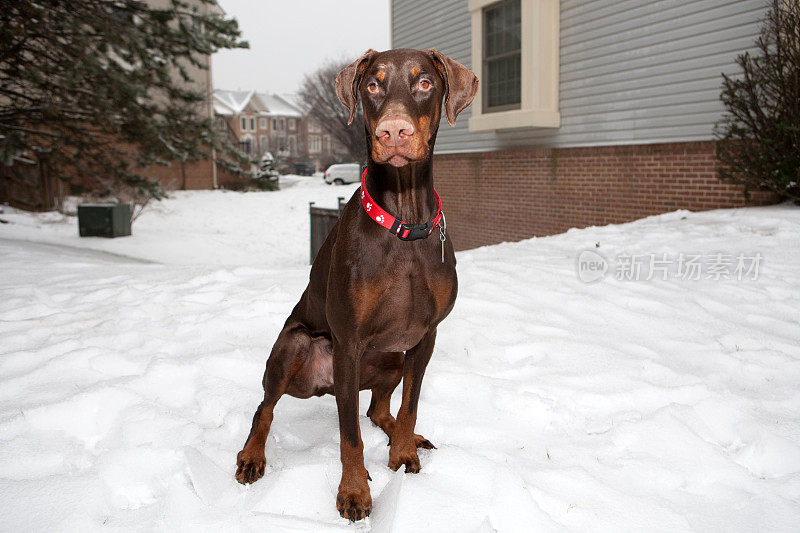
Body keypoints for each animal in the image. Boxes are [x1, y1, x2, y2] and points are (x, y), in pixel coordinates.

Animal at [234, 48, 478, 520]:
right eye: (372, 85)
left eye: (425, 83)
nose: (393, 131)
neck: (404, 222)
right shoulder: (348, 342)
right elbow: (349, 437)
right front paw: (353, 491)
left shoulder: (425, 337)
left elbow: (409, 405)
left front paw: (402, 454)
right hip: (297, 350)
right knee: (266, 407)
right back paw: (252, 455)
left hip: (391, 359)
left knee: (376, 408)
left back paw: (404, 436)